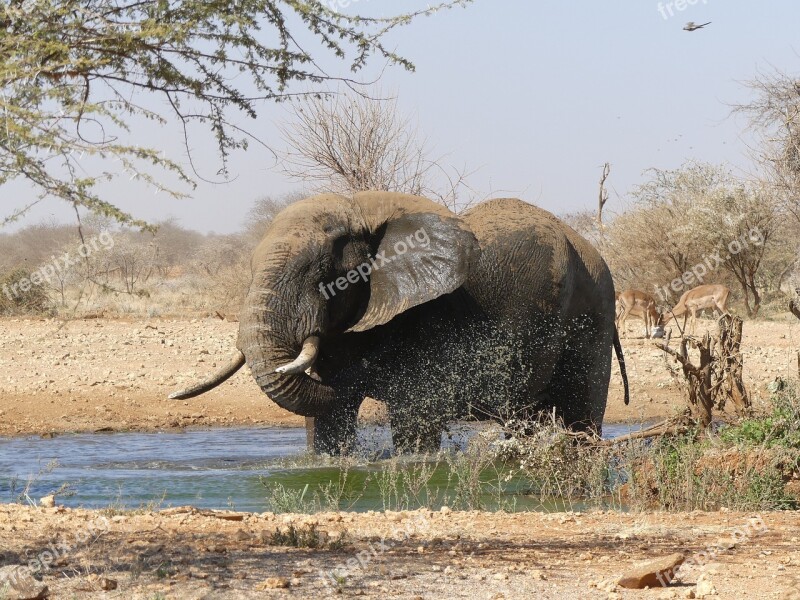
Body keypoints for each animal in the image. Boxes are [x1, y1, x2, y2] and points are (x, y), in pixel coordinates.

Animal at [172, 192, 628, 454]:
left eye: (321, 274)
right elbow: (329, 420)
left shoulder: (429, 317)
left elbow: (416, 413)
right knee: (527, 418)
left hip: (594, 310)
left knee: (581, 412)